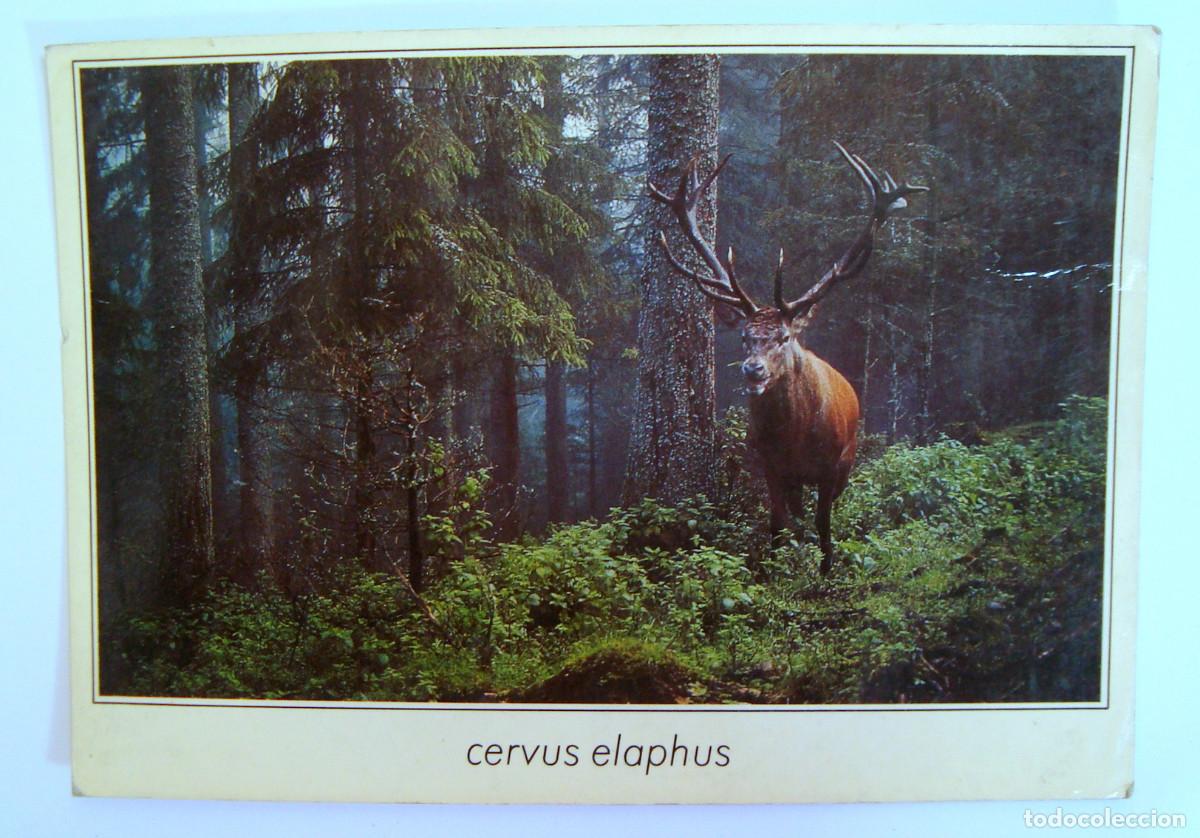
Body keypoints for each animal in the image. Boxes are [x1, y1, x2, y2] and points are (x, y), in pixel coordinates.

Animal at [650, 142, 927, 574]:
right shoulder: (770, 465)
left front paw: (826, 570)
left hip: (848, 458)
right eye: (744, 337)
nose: (753, 370)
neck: (795, 438)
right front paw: (772, 571)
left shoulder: (832, 466)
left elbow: (824, 523)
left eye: (783, 337)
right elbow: (777, 524)